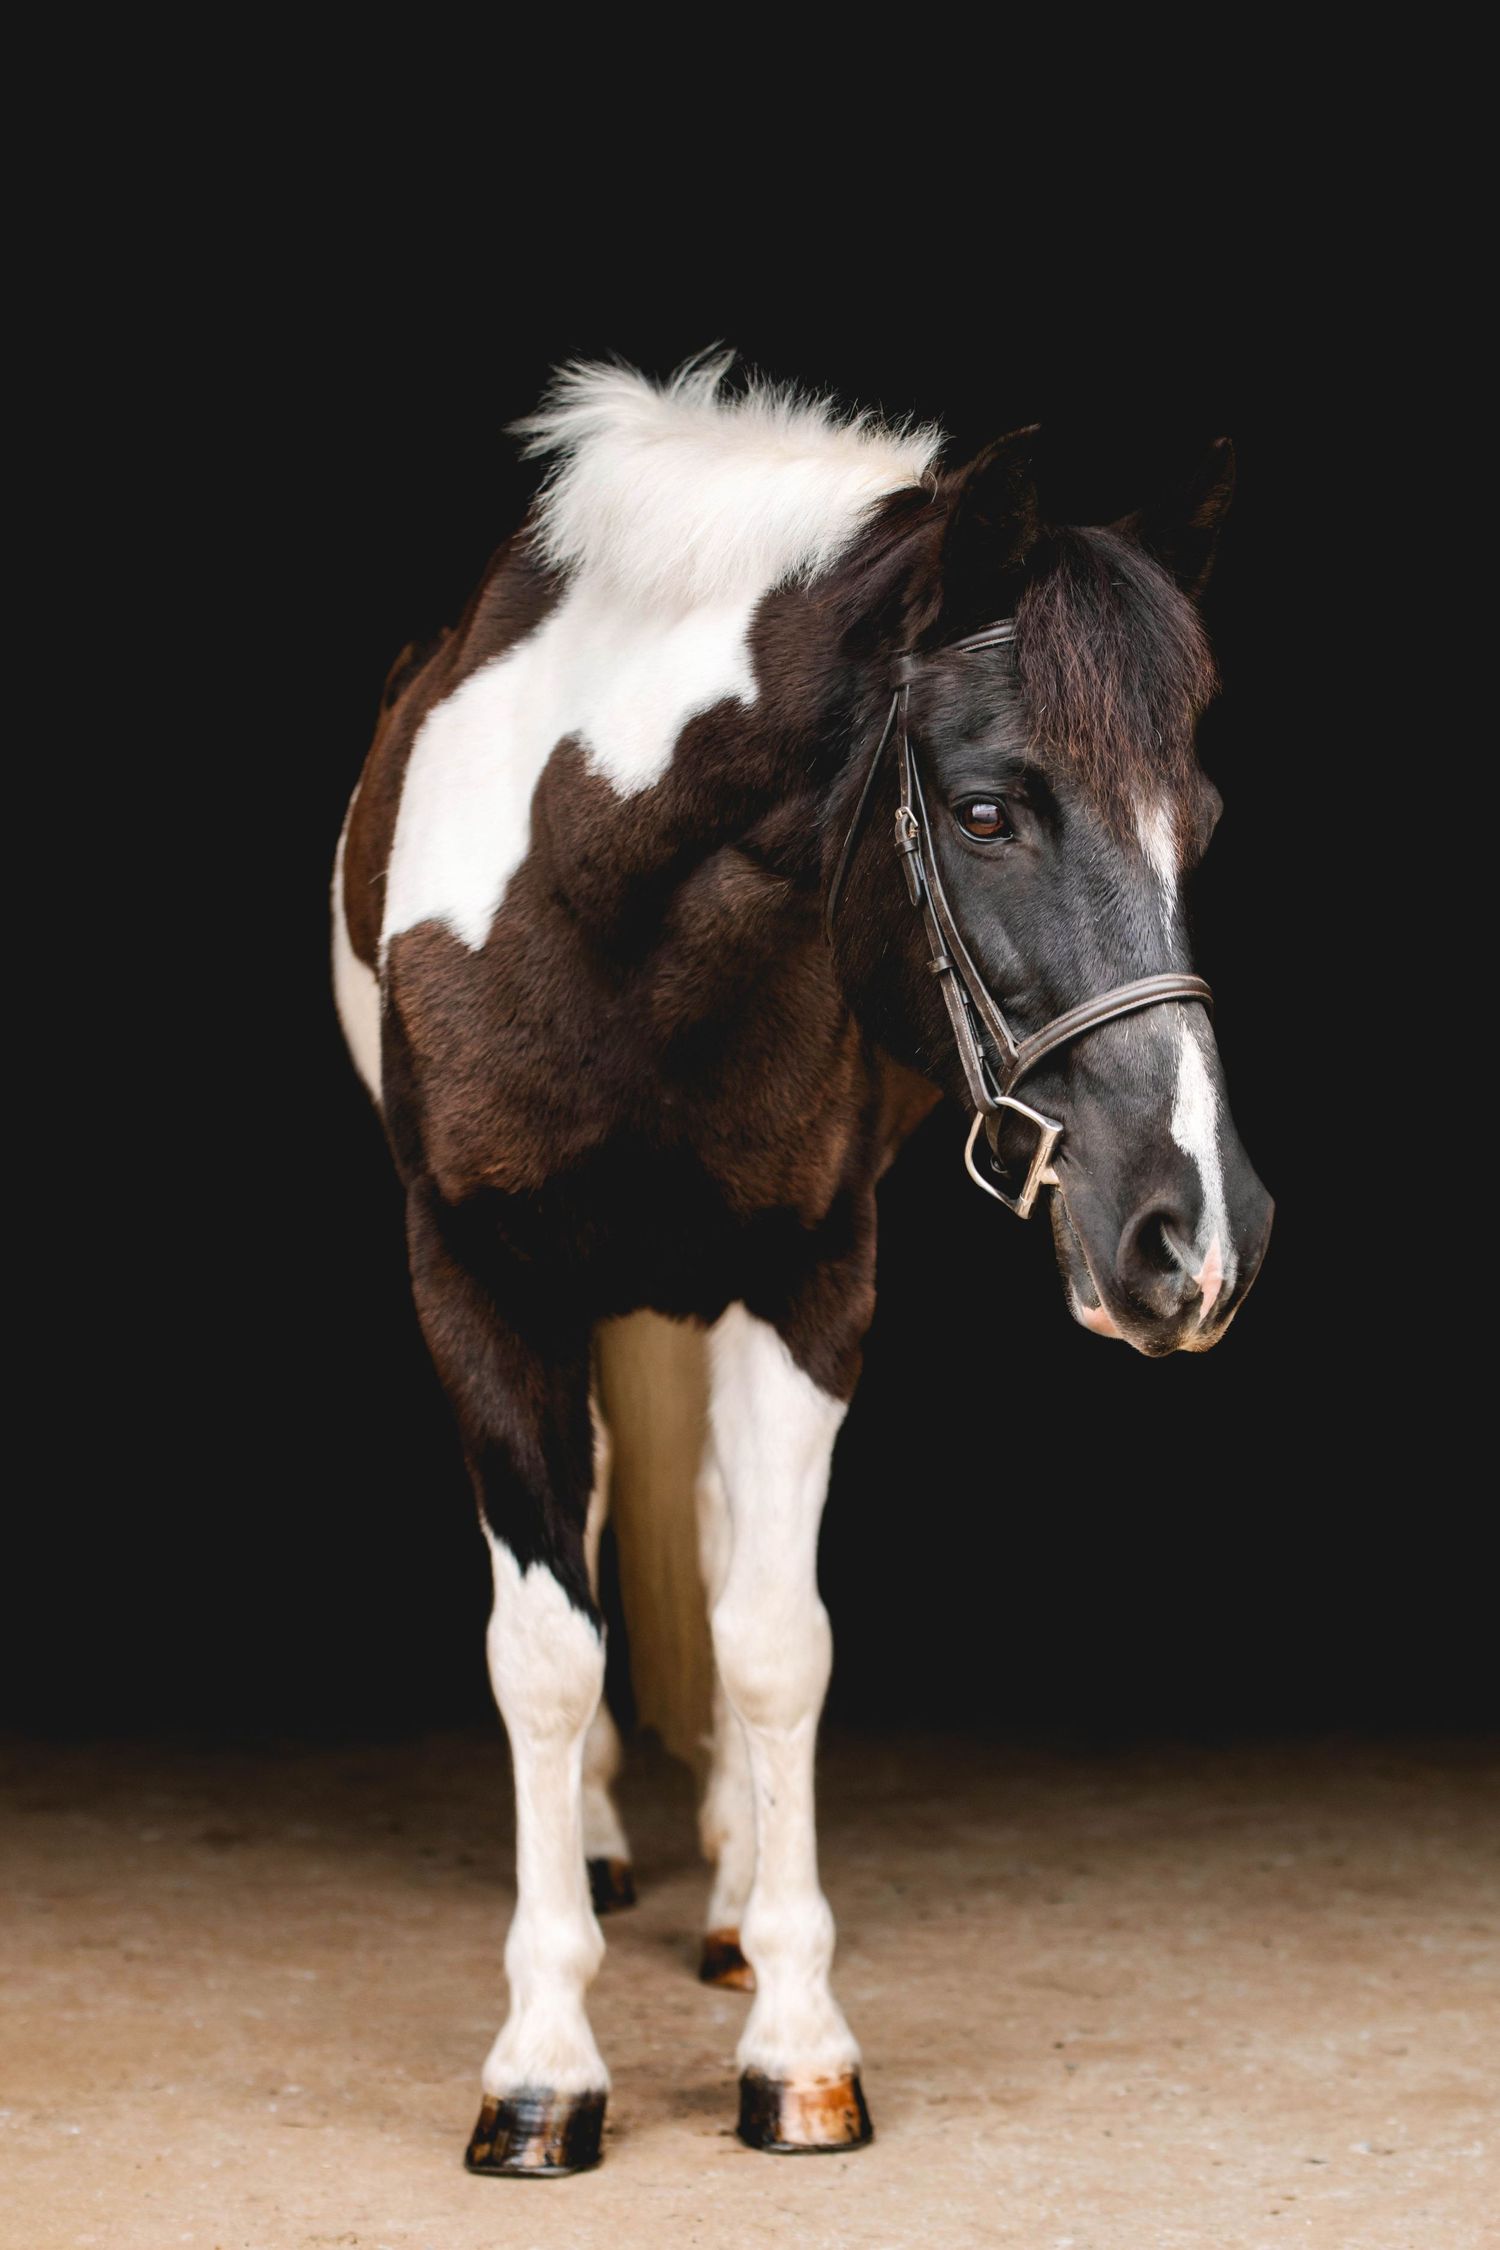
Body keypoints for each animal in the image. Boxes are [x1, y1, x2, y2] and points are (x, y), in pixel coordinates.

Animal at [331, 353, 1273, 2177]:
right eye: (986, 809)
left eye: (1194, 822)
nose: (1195, 1238)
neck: (600, 913)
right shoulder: (478, 1281)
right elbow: (542, 1655)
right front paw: (540, 2068)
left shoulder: (810, 1280)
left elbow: (775, 1638)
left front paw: (797, 2041)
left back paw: (726, 1893)